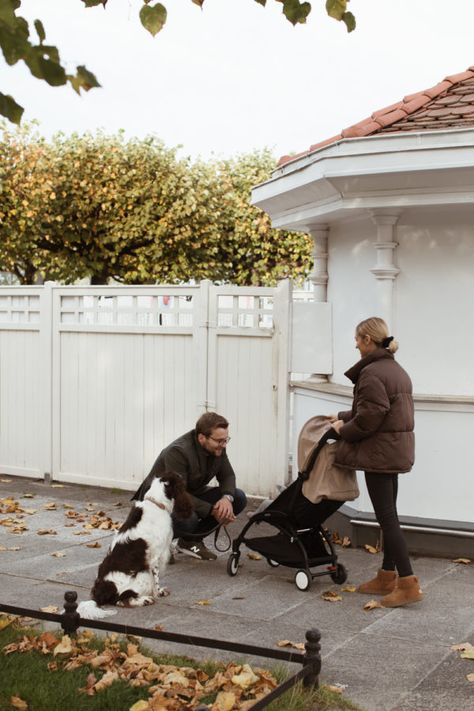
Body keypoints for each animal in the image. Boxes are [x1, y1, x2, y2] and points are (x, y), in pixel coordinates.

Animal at [77, 476, 192, 620]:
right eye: (182, 482)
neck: (156, 504)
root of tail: (99, 595)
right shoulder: (154, 557)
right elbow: (156, 580)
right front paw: (158, 593)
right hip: (142, 575)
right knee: (120, 600)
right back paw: (145, 600)